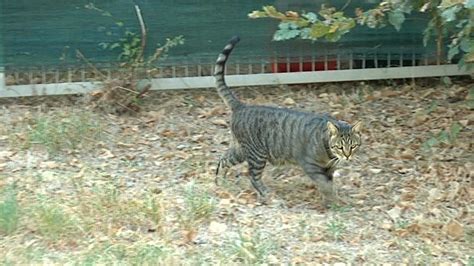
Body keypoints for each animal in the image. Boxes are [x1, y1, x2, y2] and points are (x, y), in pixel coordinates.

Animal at [213, 35, 362, 206]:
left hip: (241, 151)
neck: (329, 152)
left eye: (353, 146)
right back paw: (266, 194)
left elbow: (329, 185)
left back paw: (220, 182)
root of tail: (241, 106)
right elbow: (325, 185)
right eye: (340, 146)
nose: (347, 156)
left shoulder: (329, 169)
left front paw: (332, 199)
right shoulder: (310, 165)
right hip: (257, 155)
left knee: (223, 160)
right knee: (253, 177)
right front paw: (332, 201)